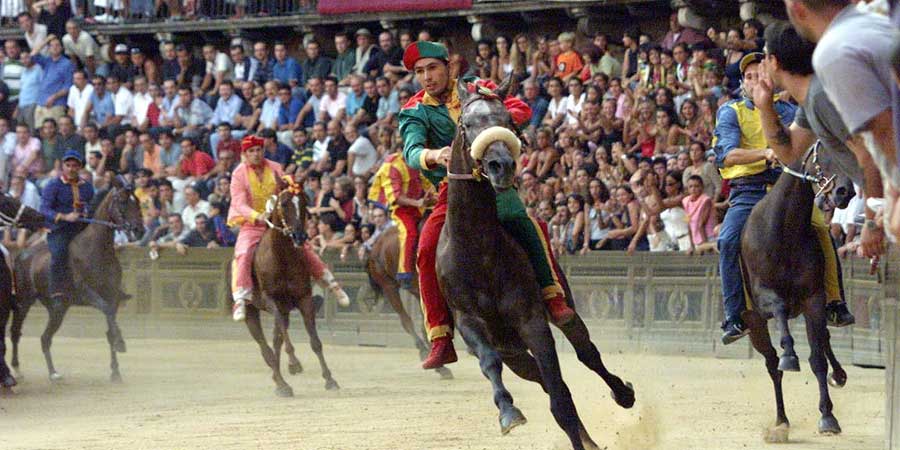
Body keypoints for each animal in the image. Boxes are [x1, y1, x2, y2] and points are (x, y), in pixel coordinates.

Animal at [11, 179, 144, 384]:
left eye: (136, 202)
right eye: (122, 201)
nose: (140, 230)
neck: (96, 250)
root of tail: (22, 254)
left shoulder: (113, 296)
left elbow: (110, 326)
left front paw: (115, 371)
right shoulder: (87, 294)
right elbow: (106, 312)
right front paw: (121, 343)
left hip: (57, 309)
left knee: (45, 338)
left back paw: (53, 373)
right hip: (24, 302)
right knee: (16, 332)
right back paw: (18, 370)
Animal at [248, 179, 340, 398]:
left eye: (305, 202)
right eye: (284, 203)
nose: (299, 235)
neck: (282, 258)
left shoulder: (304, 298)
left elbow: (315, 341)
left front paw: (329, 379)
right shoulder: (272, 301)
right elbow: (284, 339)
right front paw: (294, 364)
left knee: (275, 341)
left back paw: (279, 381)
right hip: (251, 309)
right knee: (265, 345)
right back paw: (282, 383)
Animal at [436, 74, 632, 450]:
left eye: (509, 121)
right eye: (467, 124)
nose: (501, 165)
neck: (479, 249)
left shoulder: (531, 320)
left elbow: (561, 399)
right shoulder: (469, 321)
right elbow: (490, 362)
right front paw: (509, 413)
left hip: (559, 310)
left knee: (586, 354)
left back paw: (623, 394)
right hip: (513, 351)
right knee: (534, 374)